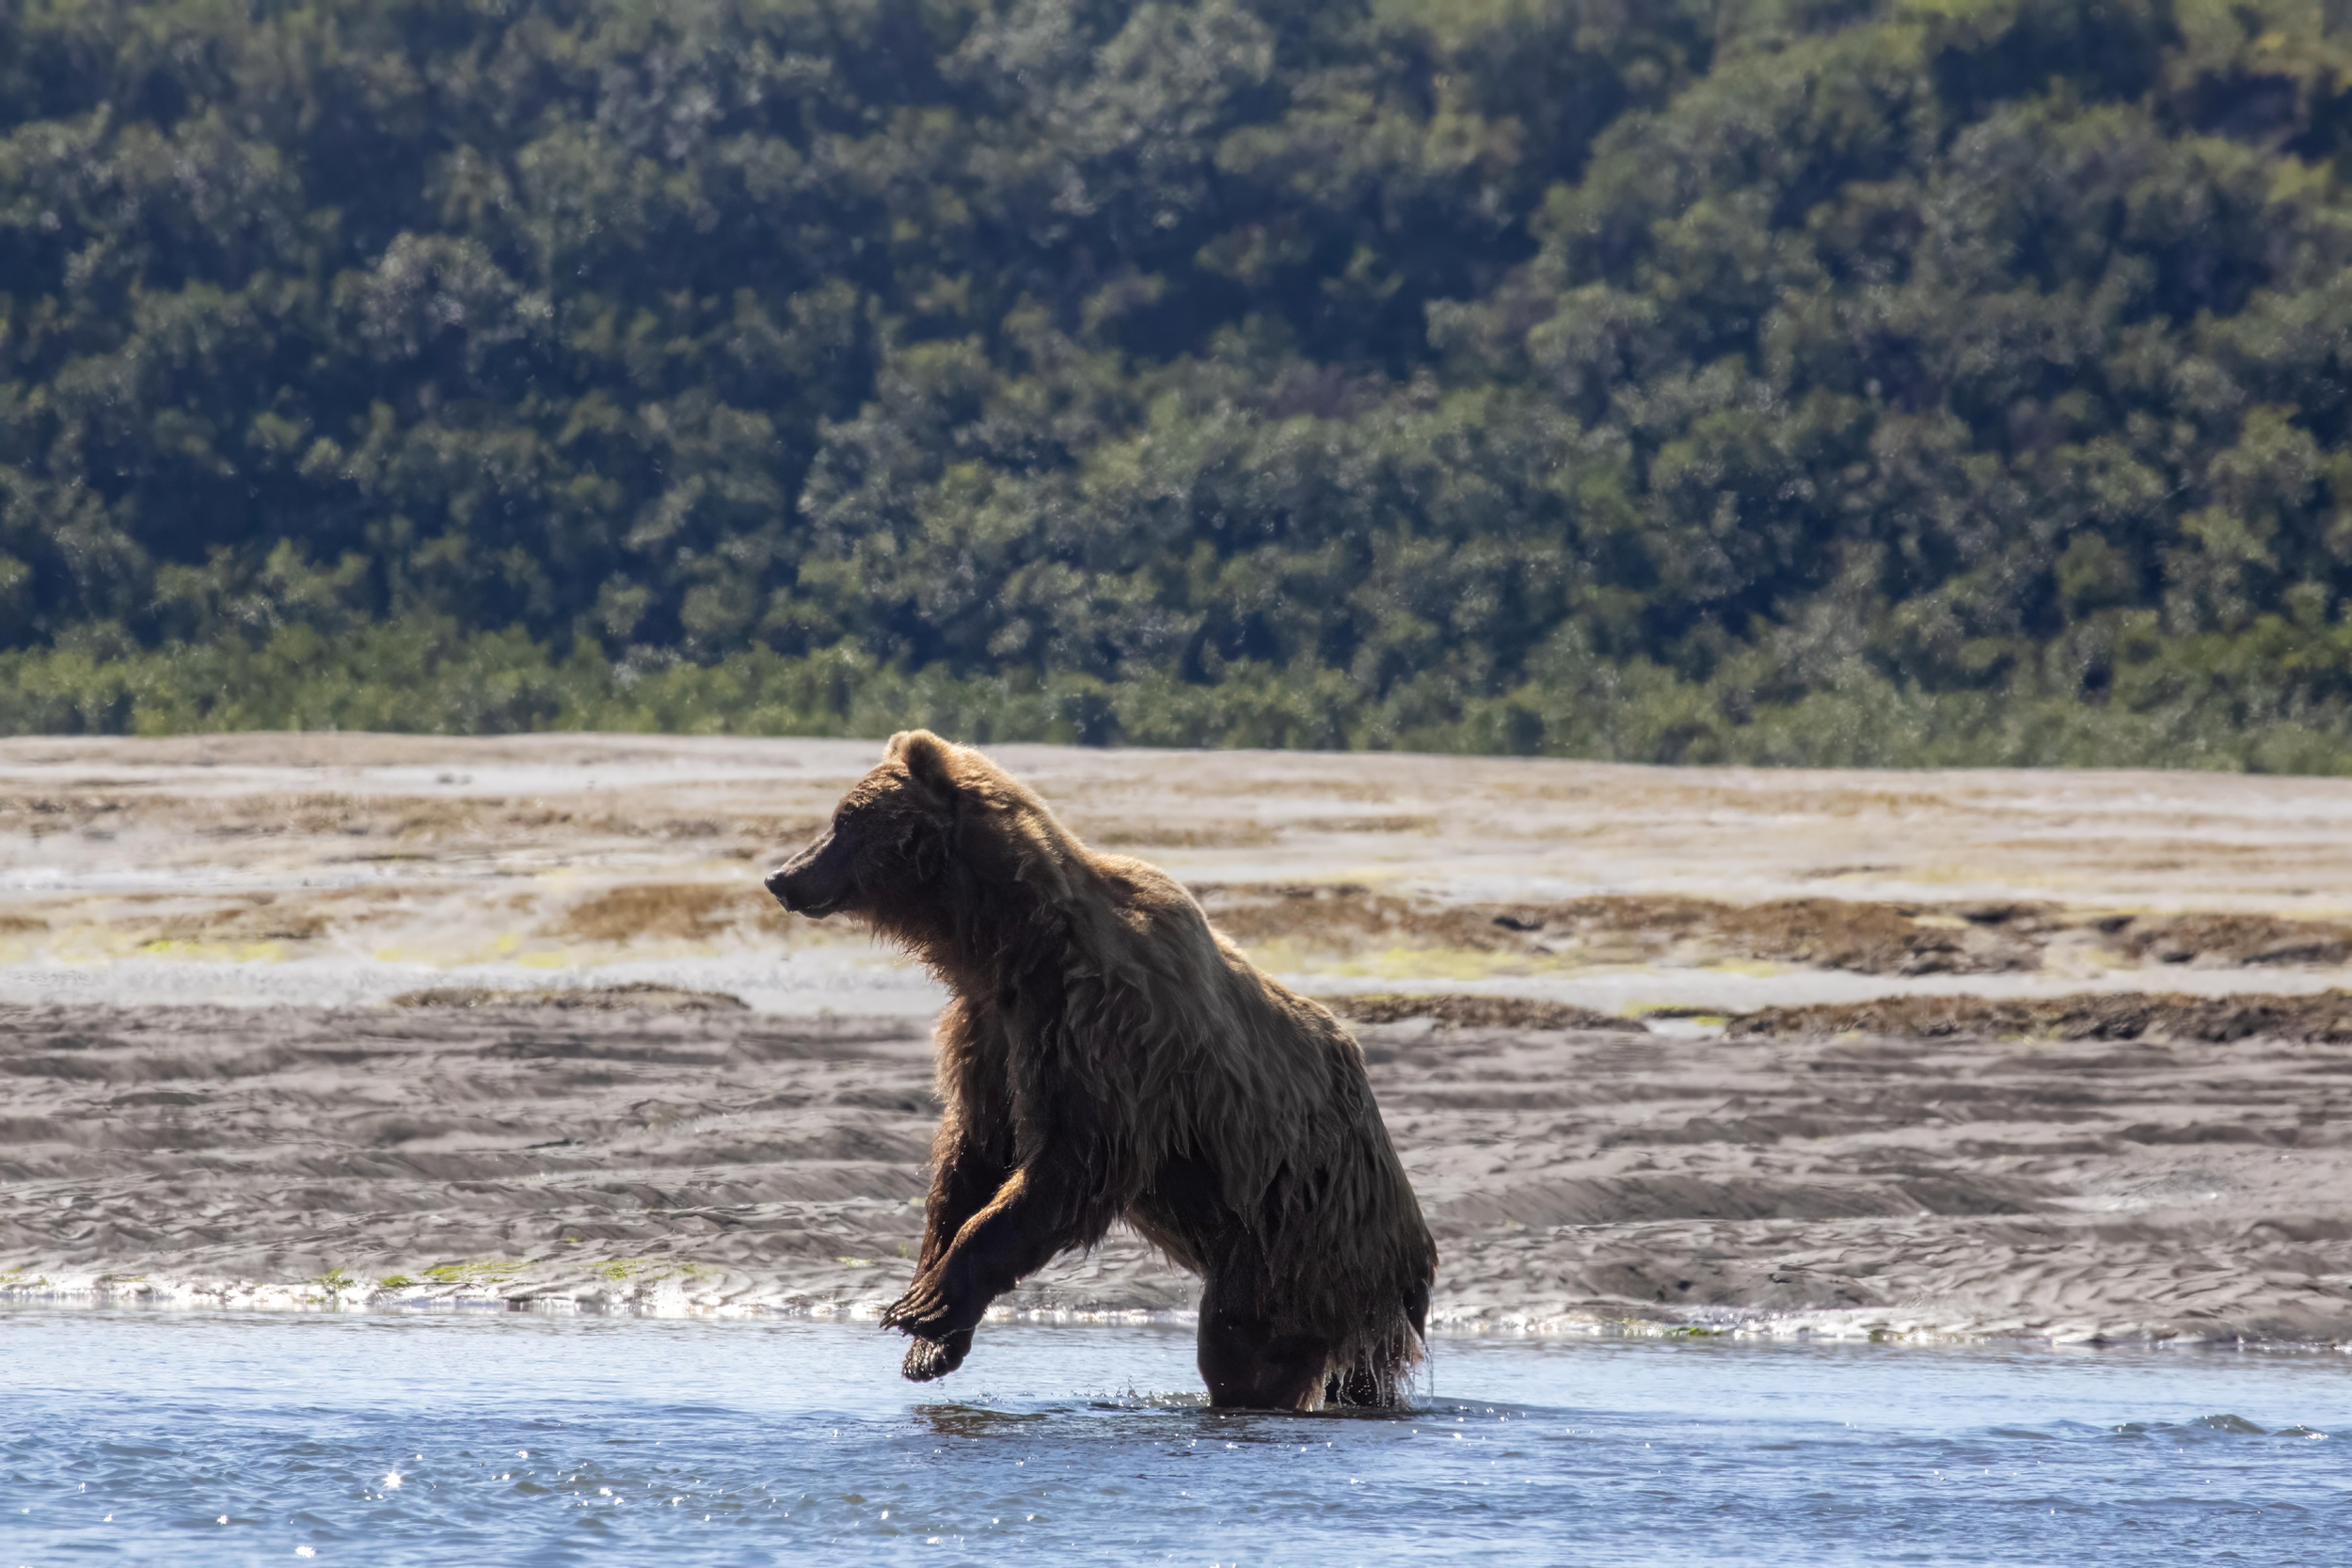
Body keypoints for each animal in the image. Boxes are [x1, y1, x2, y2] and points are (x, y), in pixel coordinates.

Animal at [764, 730, 1437, 1409]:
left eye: (844, 820)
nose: (782, 876)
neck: (1012, 945)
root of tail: (1413, 1265)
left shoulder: (1102, 1030)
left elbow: (1075, 1162)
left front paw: (926, 1305)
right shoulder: (991, 1033)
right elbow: (977, 1149)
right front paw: (930, 1336)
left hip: (1297, 1238)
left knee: (1241, 1344)